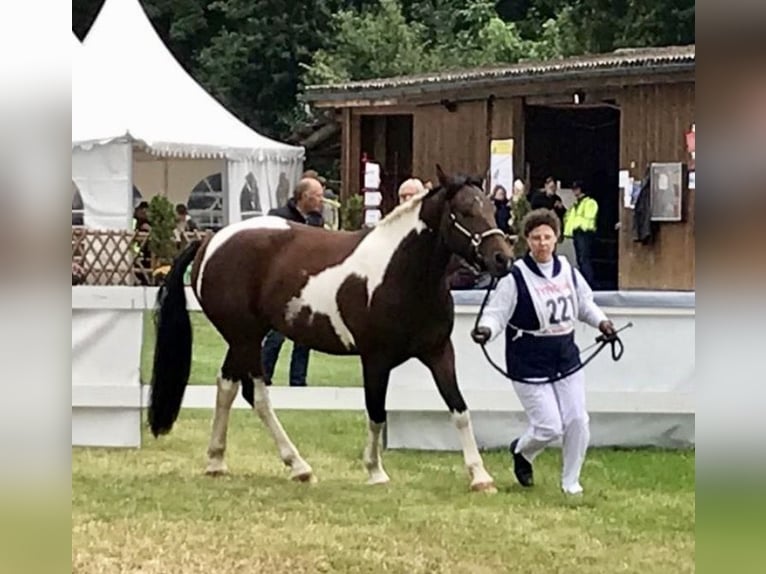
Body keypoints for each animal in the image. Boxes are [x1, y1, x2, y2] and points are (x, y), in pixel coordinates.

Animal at [148, 165, 515, 492]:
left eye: (490, 208)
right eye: (464, 212)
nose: (503, 259)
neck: (401, 273)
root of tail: (211, 240)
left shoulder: (439, 352)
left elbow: (460, 409)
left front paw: (480, 476)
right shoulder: (375, 359)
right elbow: (376, 412)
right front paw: (375, 471)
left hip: (243, 340)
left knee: (227, 385)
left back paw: (217, 461)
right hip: (245, 338)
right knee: (257, 395)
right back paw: (298, 466)